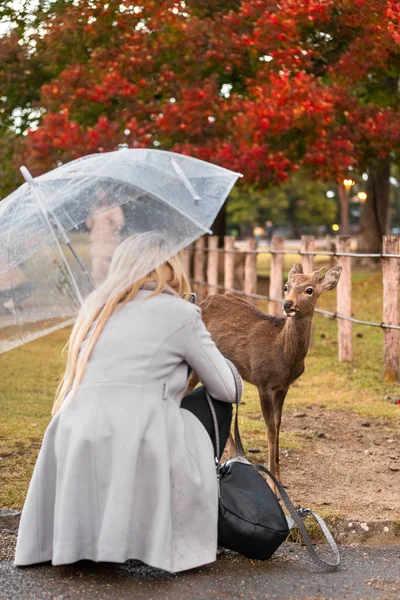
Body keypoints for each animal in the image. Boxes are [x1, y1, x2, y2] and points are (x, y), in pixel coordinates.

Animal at [186, 262, 342, 478]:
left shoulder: (283, 387)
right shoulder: (263, 381)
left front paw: (278, 477)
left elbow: (277, 426)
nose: (288, 304)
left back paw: (234, 453)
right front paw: (272, 481)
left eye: (309, 290)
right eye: (286, 287)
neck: (283, 357)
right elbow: (269, 429)